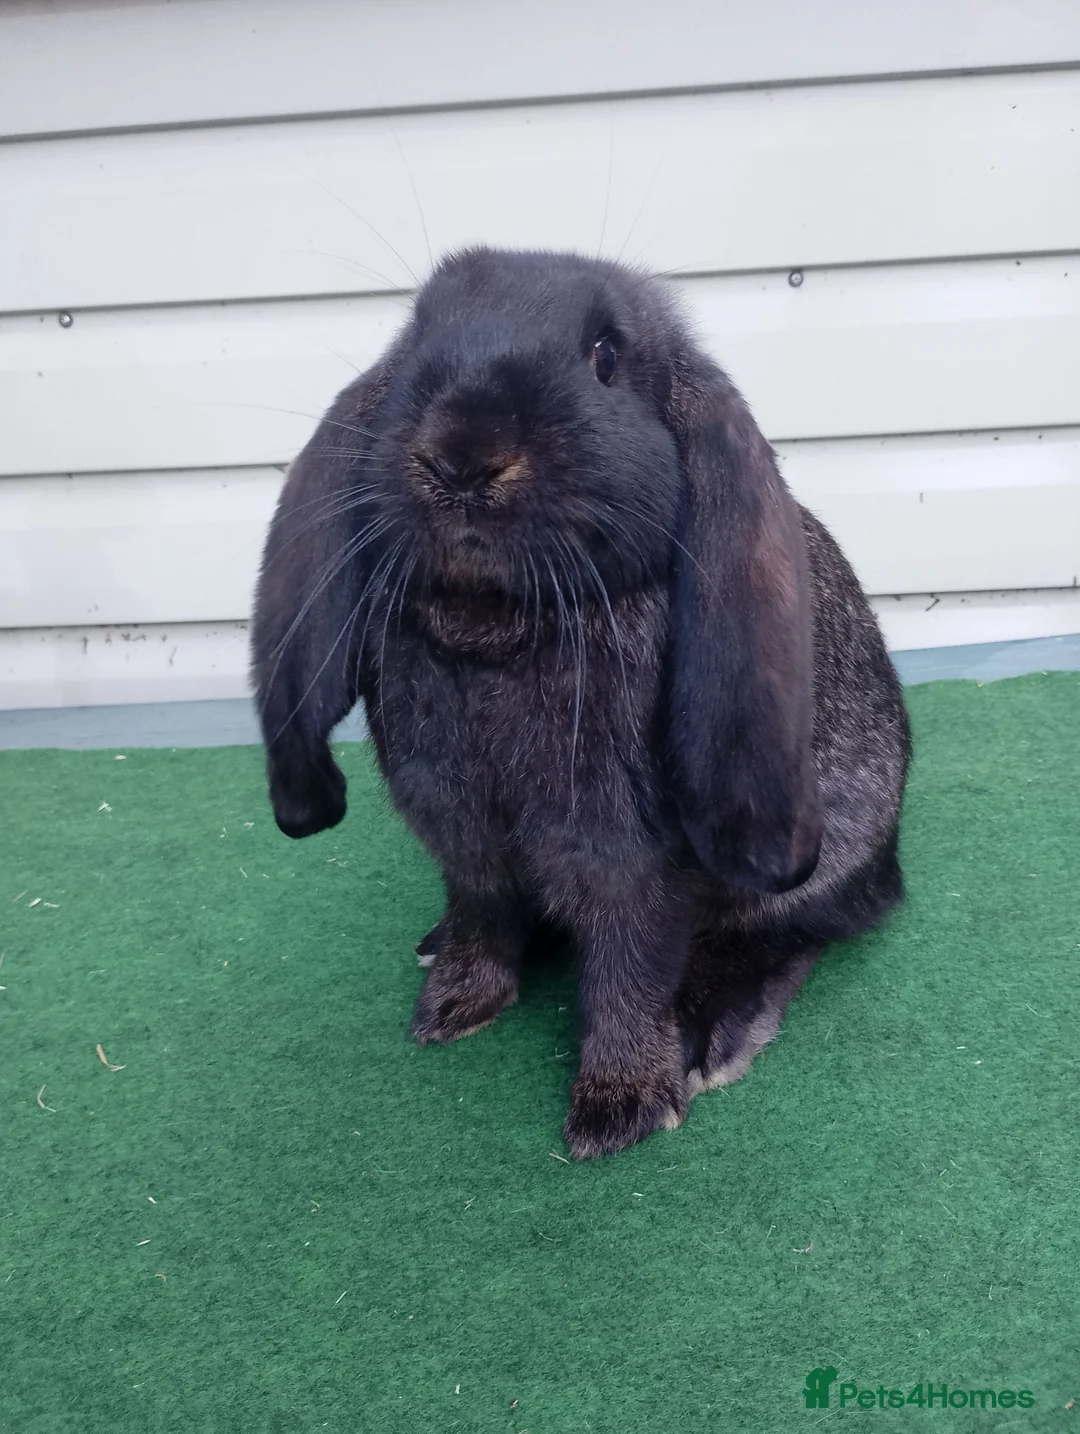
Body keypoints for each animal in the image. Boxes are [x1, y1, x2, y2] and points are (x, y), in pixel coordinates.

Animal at [251, 246, 911, 1159]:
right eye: (416, 338)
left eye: (605, 356)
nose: (461, 455)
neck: (495, 624)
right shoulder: (463, 837)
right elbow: (482, 917)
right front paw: (455, 1007)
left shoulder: (635, 861)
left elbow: (630, 970)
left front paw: (619, 1109)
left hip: (826, 843)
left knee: (800, 927)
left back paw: (713, 1032)